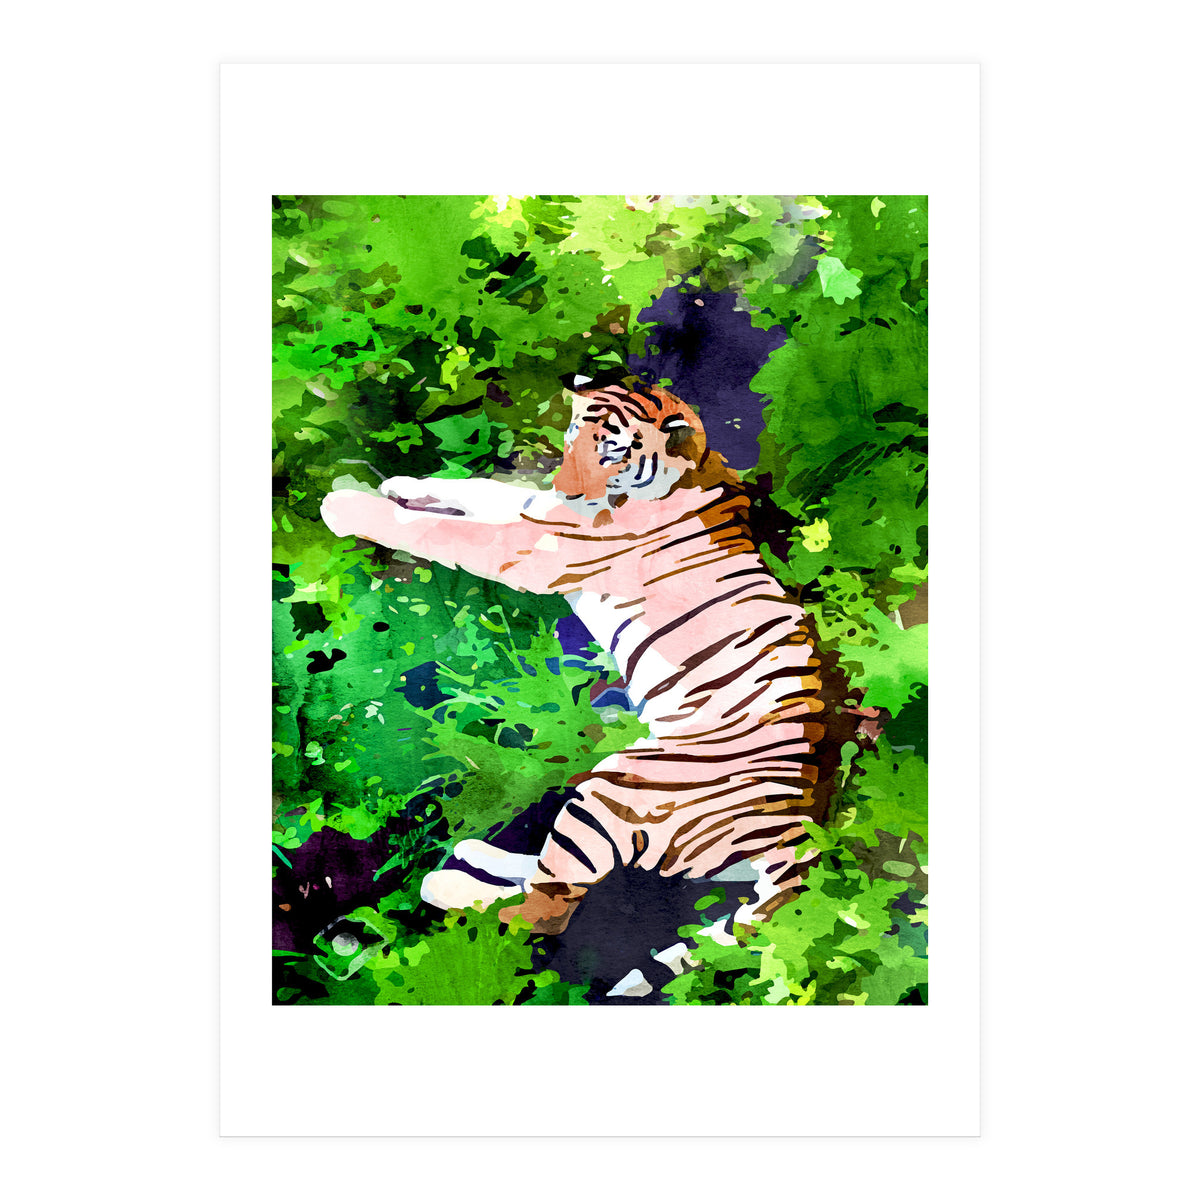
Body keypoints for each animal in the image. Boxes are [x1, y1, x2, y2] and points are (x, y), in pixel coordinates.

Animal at [320, 376, 858, 937]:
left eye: (612, 452)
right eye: (574, 434)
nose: (569, 488)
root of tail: (795, 832)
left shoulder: (532, 545)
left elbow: (438, 530)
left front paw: (345, 505)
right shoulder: (538, 511)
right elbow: (483, 490)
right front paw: (401, 483)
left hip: (614, 791)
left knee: (544, 909)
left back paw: (445, 884)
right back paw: (475, 852)